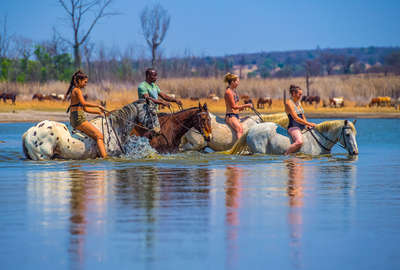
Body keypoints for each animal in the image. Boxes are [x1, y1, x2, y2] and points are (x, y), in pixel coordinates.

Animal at [225, 119, 360, 156]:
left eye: (355, 134)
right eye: (347, 135)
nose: (355, 152)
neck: (319, 140)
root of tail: (252, 129)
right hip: (259, 151)